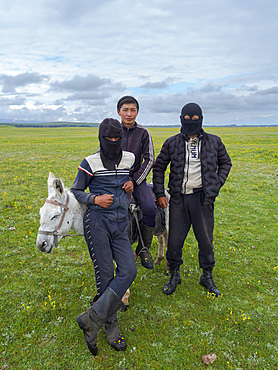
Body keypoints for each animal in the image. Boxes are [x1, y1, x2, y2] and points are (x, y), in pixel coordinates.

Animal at [36, 172, 167, 308]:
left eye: (55, 216)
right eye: (41, 213)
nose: (41, 244)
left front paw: (124, 298)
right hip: (158, 228)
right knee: (160, 238)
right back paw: (158, 259)